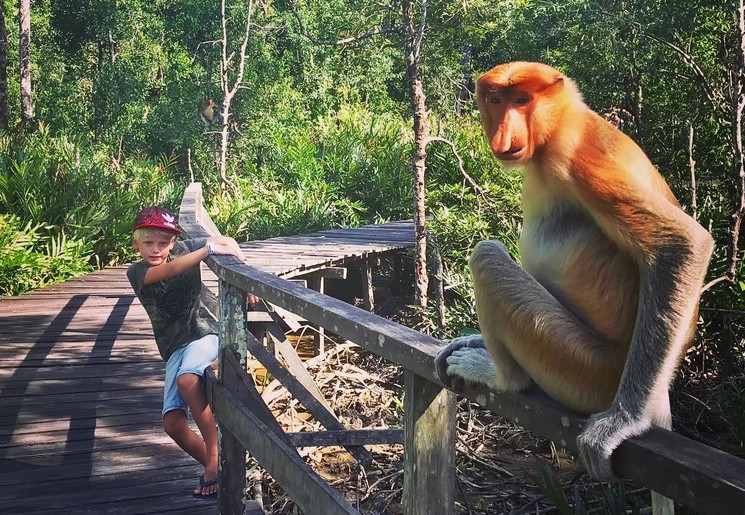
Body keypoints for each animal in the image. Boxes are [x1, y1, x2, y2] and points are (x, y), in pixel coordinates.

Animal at [436, 61, 716, 515]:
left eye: (523, 100)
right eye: (495, 100)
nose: (502, 135)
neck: (561, 124)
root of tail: (659, 395)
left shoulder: (577, 158)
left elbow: (684, 243)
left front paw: (622, 422)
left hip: (585, 368)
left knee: (488, 257)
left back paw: (500, 375)